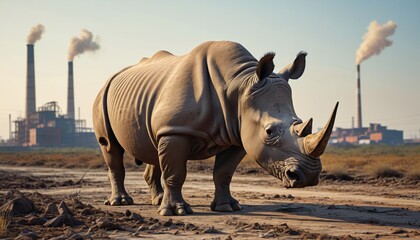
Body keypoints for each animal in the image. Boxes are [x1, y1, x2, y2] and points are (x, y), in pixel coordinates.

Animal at [92, 40, 338, 216]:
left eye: (300, 122)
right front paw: (176, 212)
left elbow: (223, 173)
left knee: (153, 146)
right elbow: (175, 172)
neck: (239, 83)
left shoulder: (238, 134)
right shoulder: (177, 129)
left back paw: (157, 201)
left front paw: (228, 207)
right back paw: (122, 202)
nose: (309, 177)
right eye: (269, 132)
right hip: (103, 96)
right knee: (110, 147)